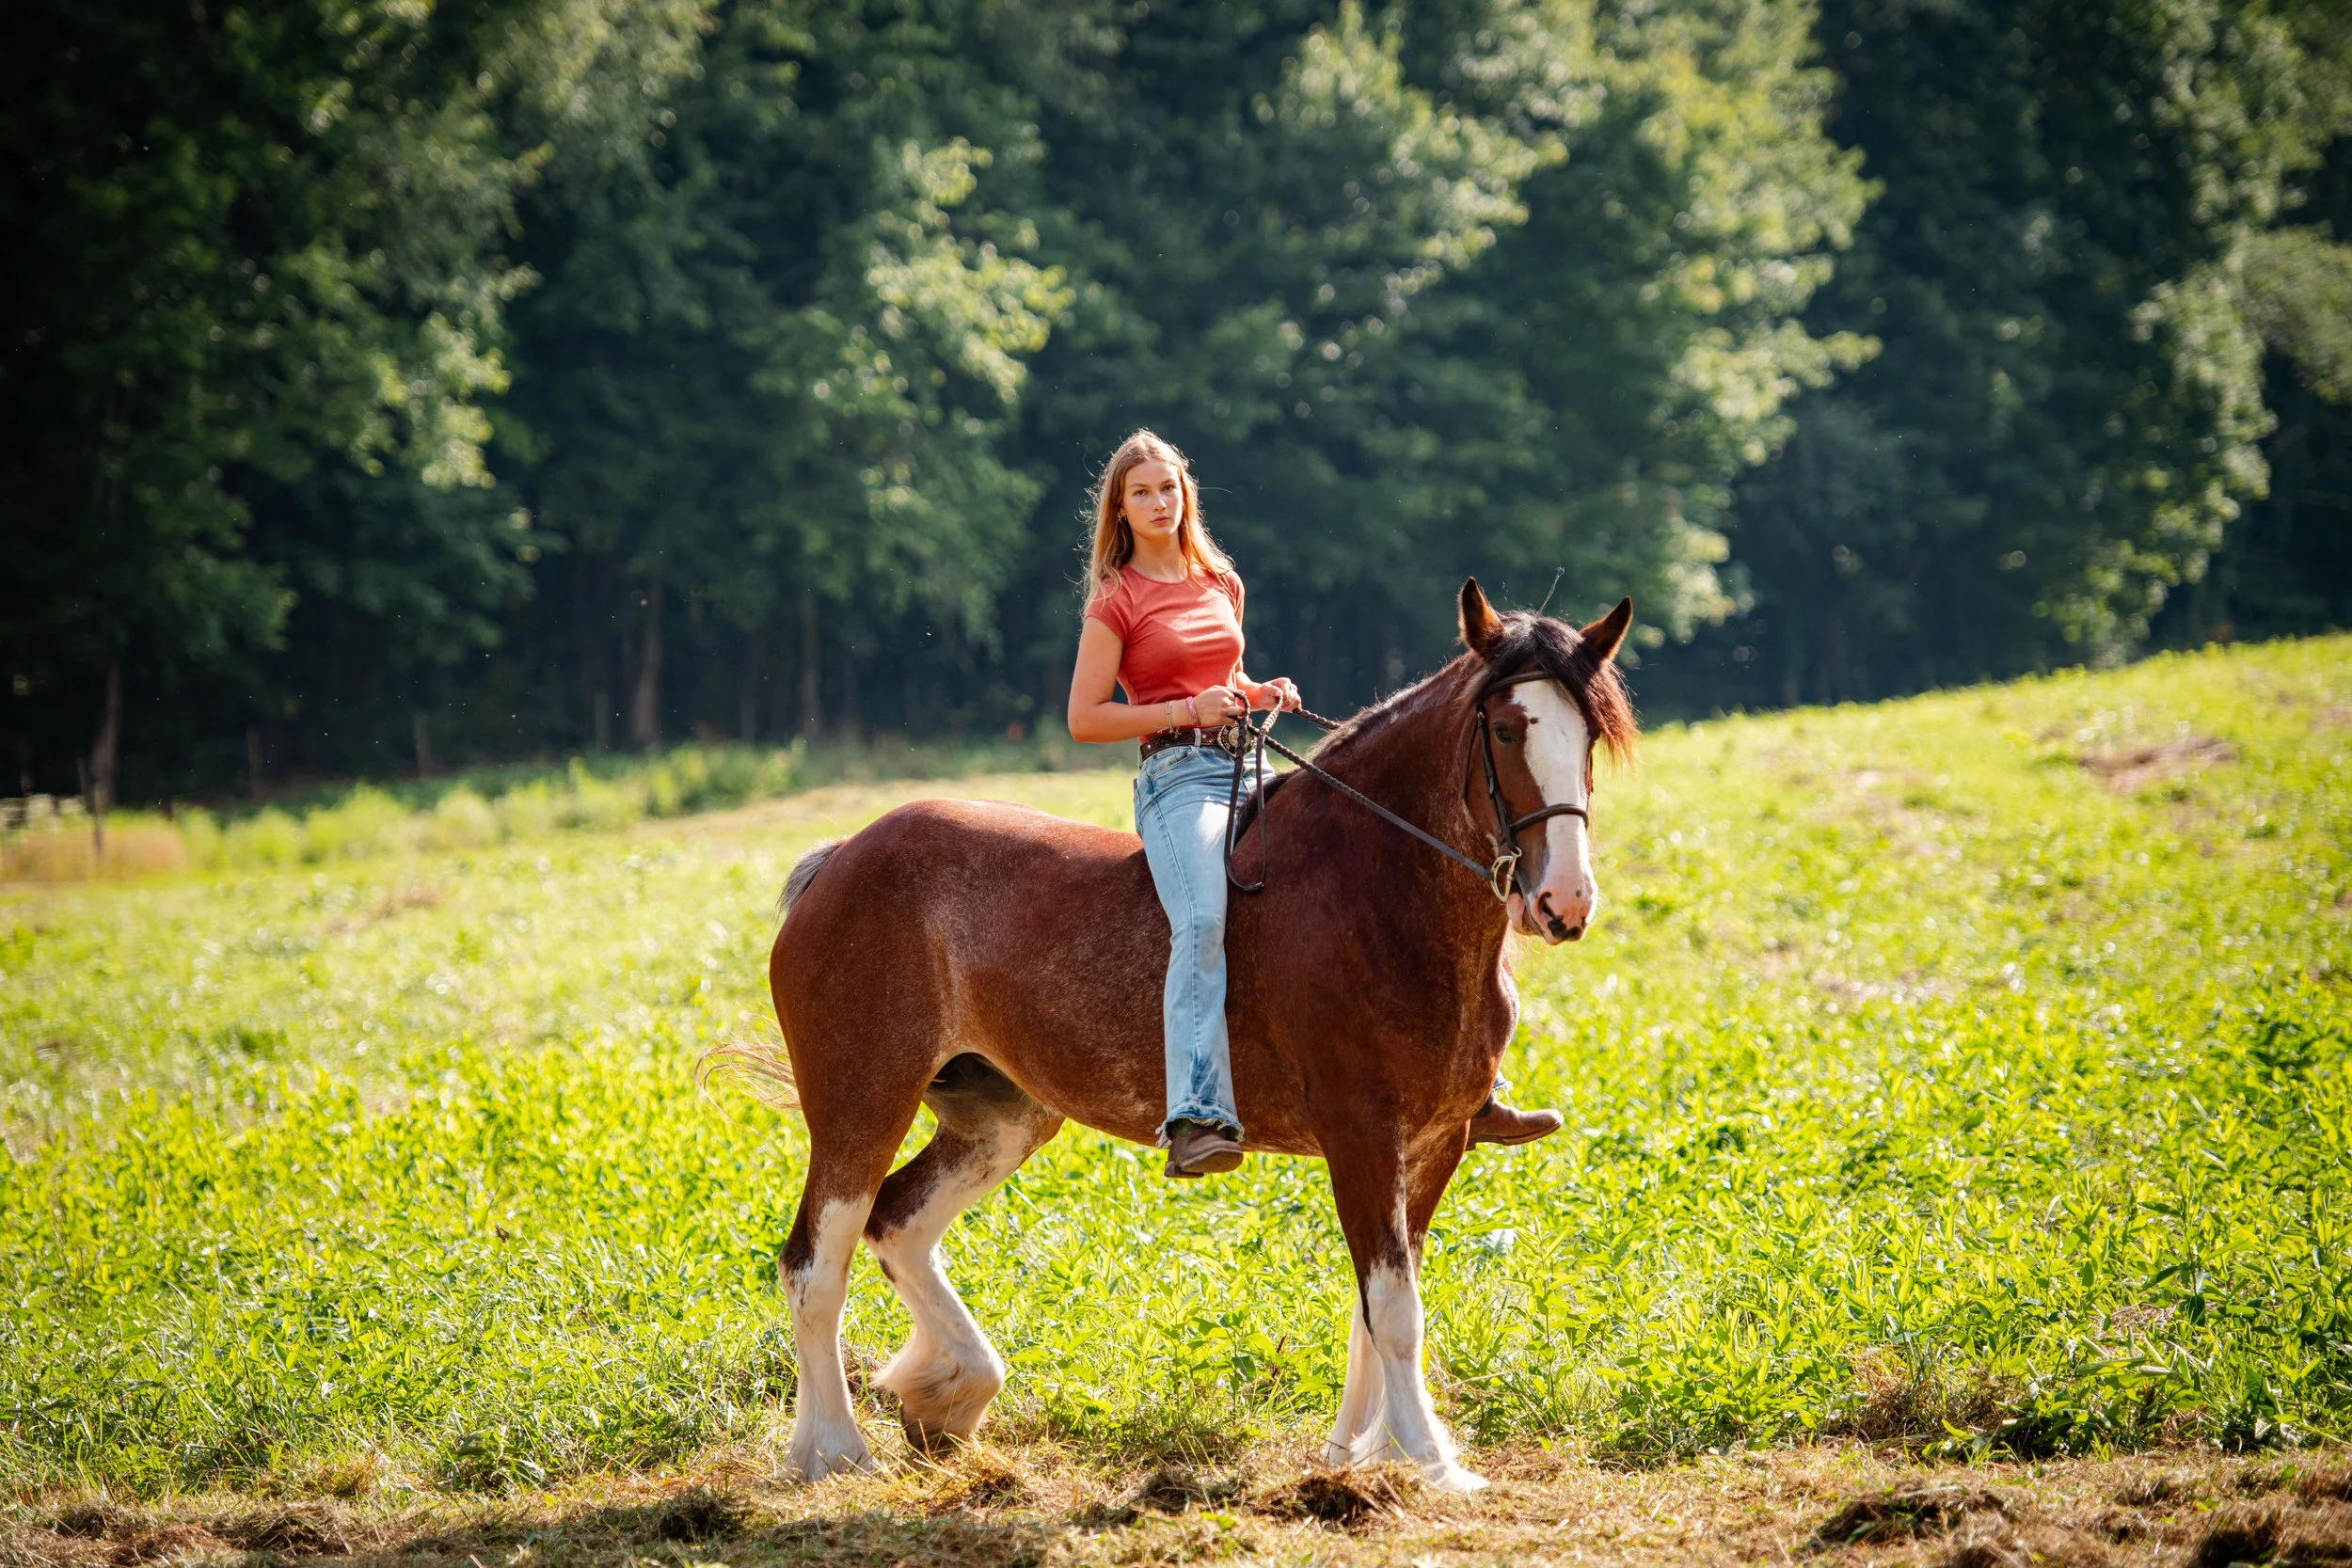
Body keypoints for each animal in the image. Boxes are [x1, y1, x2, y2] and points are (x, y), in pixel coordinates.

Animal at [745, 578, 1635, 1491]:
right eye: (1506, 729)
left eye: (1589, 734)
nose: (1563, 901)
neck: (1374, 893)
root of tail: (843, 856)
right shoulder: (1362, 1134)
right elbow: (1394, 1307)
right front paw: (1428, 1458)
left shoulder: (1436, 1141)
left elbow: (1377, 1300)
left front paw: (1359, 1452)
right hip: (861, 1105)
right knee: (816, 1261)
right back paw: (833, 1450)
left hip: (1002, 1116)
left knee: (900, 1222)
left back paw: (949, 1390)